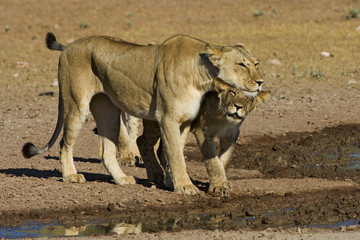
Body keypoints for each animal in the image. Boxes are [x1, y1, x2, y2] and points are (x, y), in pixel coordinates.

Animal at [136, 79, 268, 197]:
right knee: (142, 141)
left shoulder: (231, 136)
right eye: (233, 92)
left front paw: (224, 183)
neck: (225, 119)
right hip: (158, 122)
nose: (238, 107)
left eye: (249, 99)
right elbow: (213, 162)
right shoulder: (202, 132)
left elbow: (224, 161)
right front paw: (219, 187)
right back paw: (156, 174)